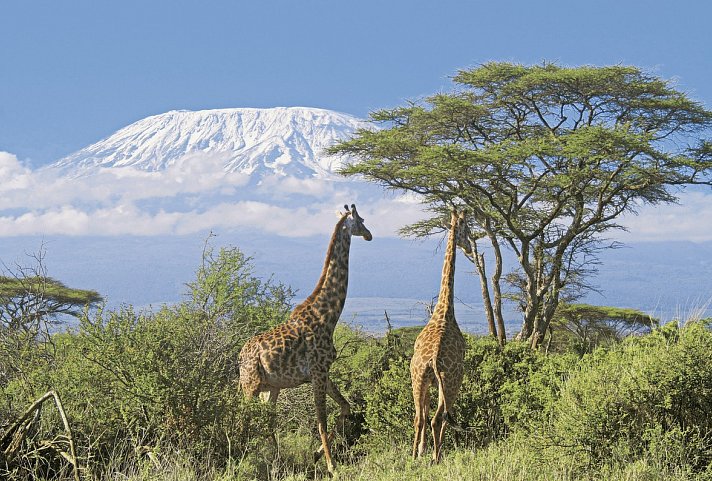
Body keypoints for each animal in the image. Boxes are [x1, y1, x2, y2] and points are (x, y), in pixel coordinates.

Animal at [239, 202, 372, 472]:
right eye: (361, 220)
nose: (369, 234)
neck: (327, 315)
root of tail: (239, 357)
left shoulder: (322, 372)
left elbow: (345, 406)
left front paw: (317, 455)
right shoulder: (318, 372)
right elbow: (321, 419)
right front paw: (331, 465)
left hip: (271, 387)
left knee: (267, 421)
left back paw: (276, 459)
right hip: (250, 385)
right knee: (243, 418)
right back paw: (242, 457)